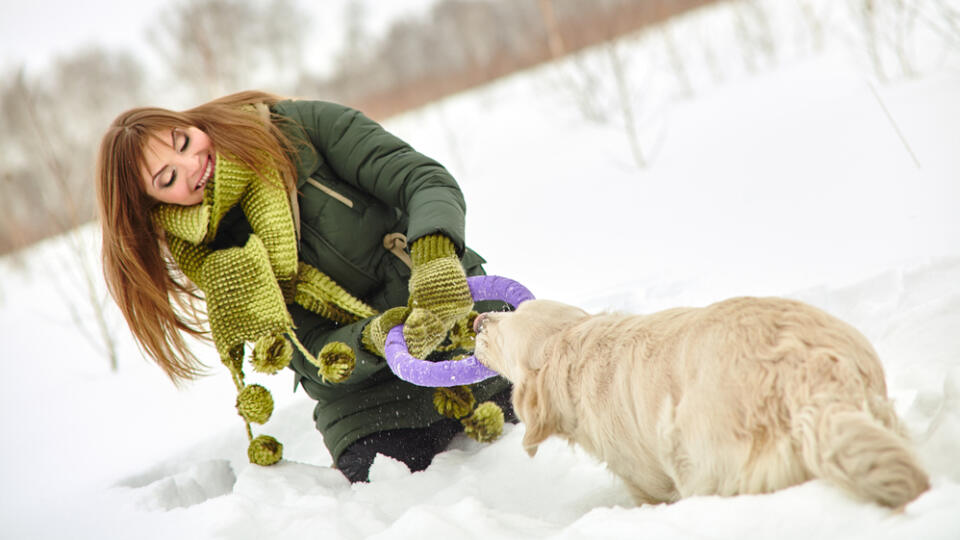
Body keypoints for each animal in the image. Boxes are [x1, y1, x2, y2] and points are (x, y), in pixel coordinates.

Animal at [472, 298, 928, 508]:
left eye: (503, 331)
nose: (477, 320)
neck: (575, 344)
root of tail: (805, 372)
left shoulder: (645, 478)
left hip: (696, 461)